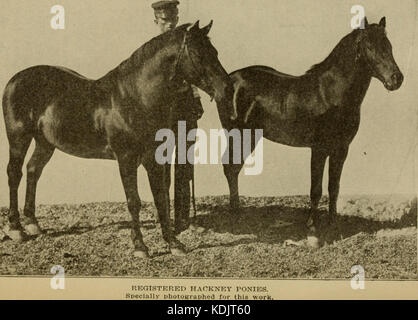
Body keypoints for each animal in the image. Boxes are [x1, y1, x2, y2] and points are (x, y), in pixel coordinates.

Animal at [3, 21, 237, 258]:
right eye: (199, 55)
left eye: (215, 52)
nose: (228, 89)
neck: (135, 97)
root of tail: (16, 79)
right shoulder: (126, 159)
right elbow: (134, 201)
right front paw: (140, 246)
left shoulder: (153, 159)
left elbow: (161, 198)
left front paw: (173, 243)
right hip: (18, 138)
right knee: (15, 173)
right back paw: (16, 228)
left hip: (45, 142)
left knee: (33, 171)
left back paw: (32, 223)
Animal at [217, 17, 404, 238]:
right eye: (369, 47)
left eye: (389, 46)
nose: (396, 79)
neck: (330, 93)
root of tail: (229, 79)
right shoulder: (319, 148)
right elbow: (316, 189)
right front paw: (312, 225)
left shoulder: (341, 149)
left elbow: (334, 187)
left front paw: (334, 223)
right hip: (238, 135)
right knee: (230, 168)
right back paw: (235, 216)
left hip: (250, 136)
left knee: (234, 168)